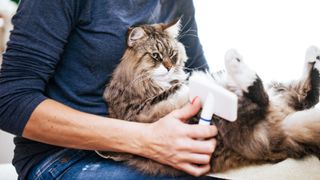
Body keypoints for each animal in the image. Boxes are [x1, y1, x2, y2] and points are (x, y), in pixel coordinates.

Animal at [97, 19, 320, 176]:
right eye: (156, 56)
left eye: (172, 54)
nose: (169, 67)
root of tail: (283, 133)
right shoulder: (139, 107)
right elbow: (175, 87)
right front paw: (188, 79)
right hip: (233, 119)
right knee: (262, 97)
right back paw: (236, 65)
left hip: (280, 89)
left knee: (306, 93)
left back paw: (312, 55)